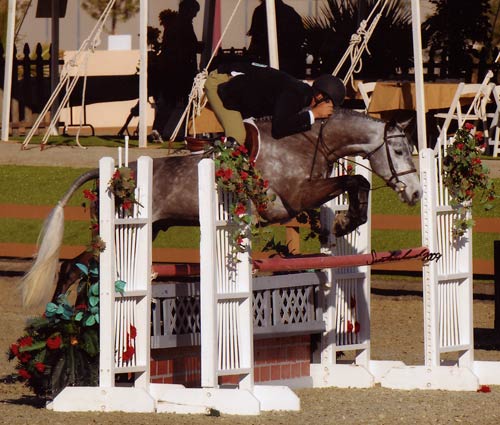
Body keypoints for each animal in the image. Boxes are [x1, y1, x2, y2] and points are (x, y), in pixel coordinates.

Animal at [21, 108, 424, 308]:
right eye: (399, 150)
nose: (417, 193)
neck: (309, 142)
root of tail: (111, 173)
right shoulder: (294, 198)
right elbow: (356, 182)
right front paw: (343, 222)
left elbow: (357, 185)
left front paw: (342, 222)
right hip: (118, 231)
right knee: (72, 268)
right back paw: (54, 319)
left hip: (144, 231)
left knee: (82, 269)